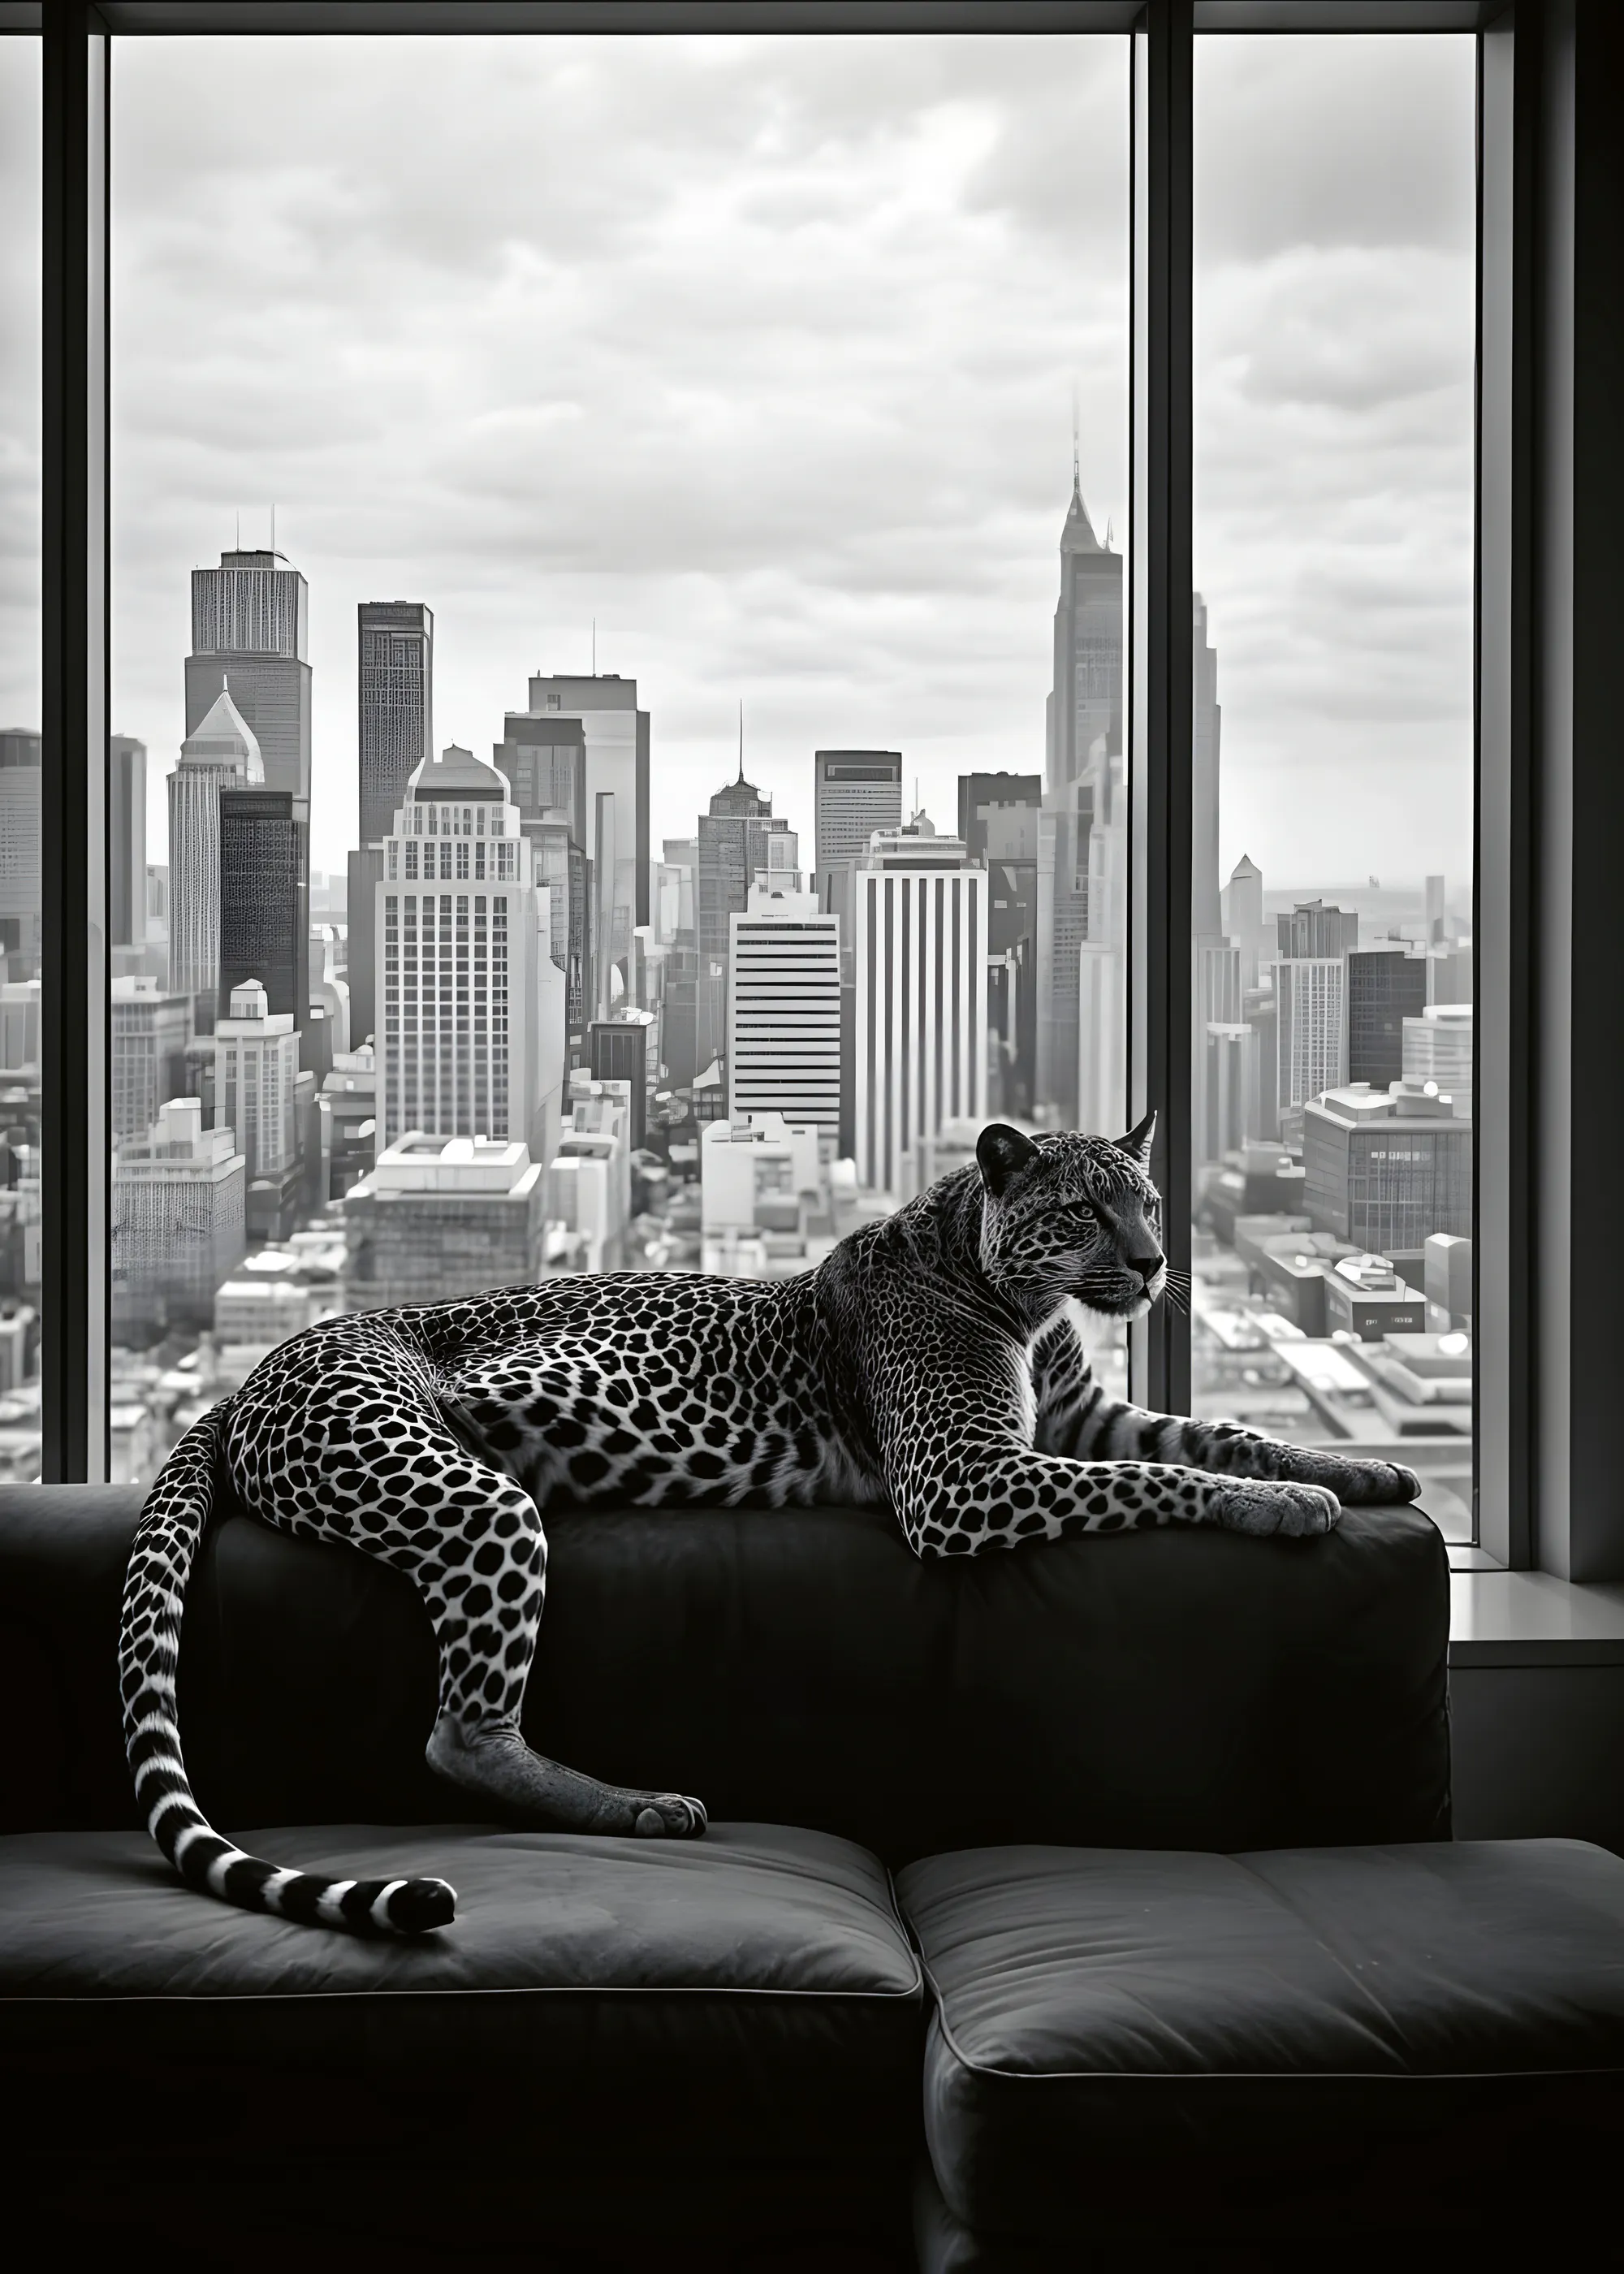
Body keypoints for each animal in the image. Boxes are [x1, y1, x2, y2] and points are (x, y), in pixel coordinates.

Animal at [121, 1115, 1421, 1937]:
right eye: (1081, 1211)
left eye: (1145, 1200)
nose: (1153, 1264)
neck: (1020, 1299)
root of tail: (253, 1372)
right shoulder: (964, 1478)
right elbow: (1163, 1482)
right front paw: (1285, 1508)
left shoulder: (1083, 1418)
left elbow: (1219, 1435)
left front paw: (1354, 1469)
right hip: (467, 1494)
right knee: (460, 1736)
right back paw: (637, 1806)